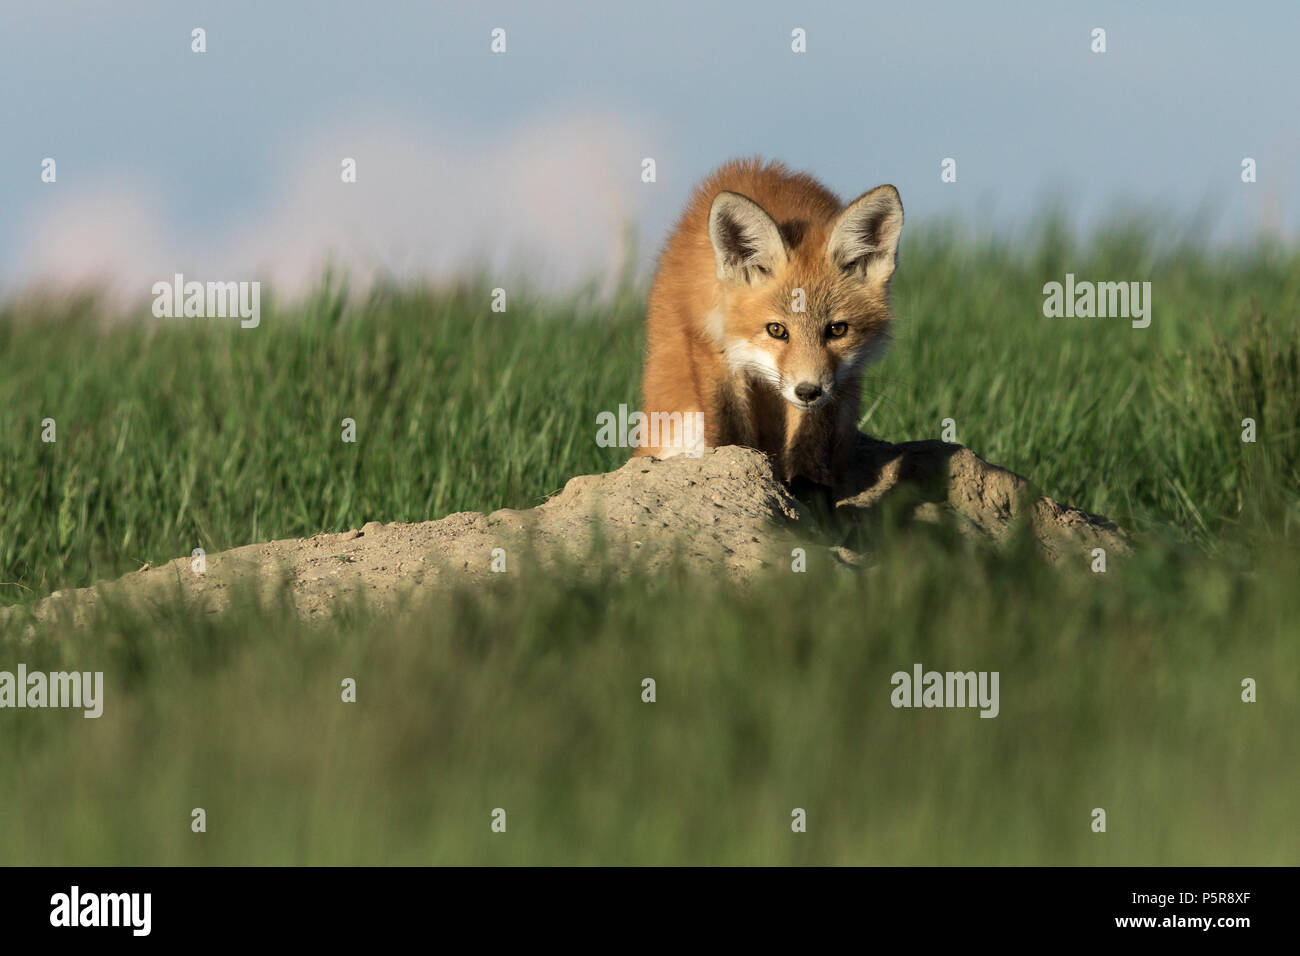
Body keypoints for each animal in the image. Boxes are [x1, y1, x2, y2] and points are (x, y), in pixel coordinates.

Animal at [631, 158, 899, 486]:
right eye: (776, 330)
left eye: (837, 329)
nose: (807, 391)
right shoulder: (711, 346)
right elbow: (730, 432)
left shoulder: (825, 390)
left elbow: (809, 444)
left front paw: (807, 489)